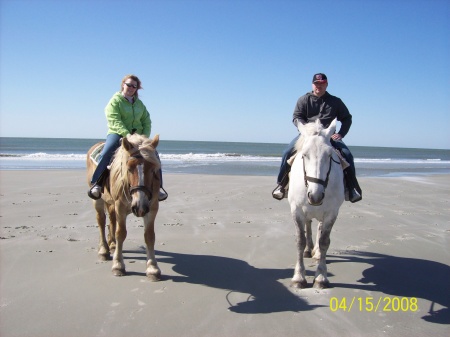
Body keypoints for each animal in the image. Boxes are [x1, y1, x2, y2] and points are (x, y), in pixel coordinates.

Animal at [86, 133, 162, 280]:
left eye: (153, 168)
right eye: (129, 168)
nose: (140, 206)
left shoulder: (152, 208)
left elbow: (150, 236)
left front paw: (152, 268)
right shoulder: (120, 207)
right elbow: (121, 233)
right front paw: (118, 265)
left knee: (111, 220)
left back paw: (112, 245)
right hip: (98, 201)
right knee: (101, 221)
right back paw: (103, 250)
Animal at [288, 117, 344, 286]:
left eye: (329, 155)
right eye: (304, 155)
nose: (315, 196)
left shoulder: (332, 212)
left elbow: (325, 241)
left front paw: (321, 277)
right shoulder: (296, 209)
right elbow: (300, 240)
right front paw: (299, 277)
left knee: (319, 229)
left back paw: (317, 253)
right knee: (309, 225)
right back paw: (309, 250)